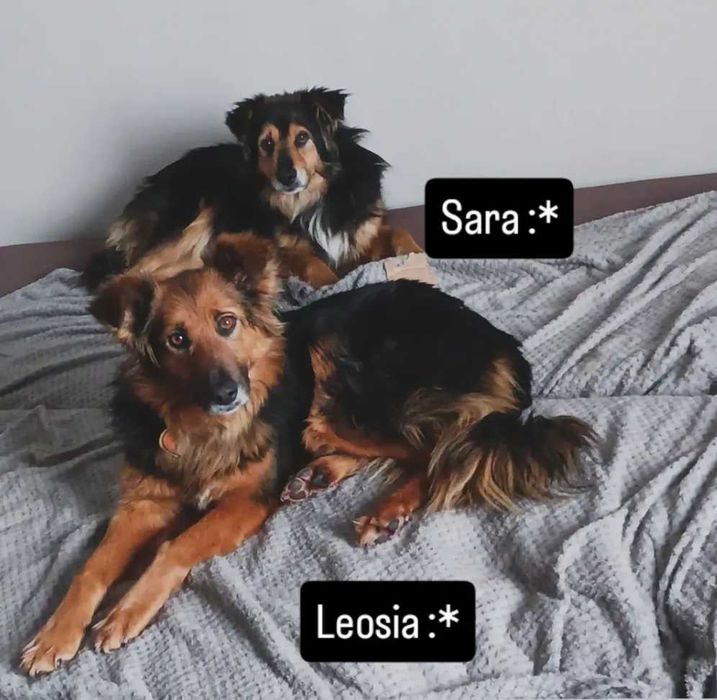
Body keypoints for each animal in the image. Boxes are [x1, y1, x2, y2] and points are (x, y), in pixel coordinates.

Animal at [22, 234, 594, 675]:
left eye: (226, 323)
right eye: (176, 339)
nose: (228, 393)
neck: (199, 426)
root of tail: (496, 338)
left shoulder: (247, 502)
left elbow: (174, 547)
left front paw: (127, 610)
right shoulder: (142, 504)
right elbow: (91, 568)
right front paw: (55, 633)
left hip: (338, 382)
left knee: (435, 450)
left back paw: (386, 509)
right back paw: (316, 477)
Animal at [83, 87, 421, 290]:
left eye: (302, 138)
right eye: (266, 144)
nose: (287, 177)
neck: (314, 199)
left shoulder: (362, 231)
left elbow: (399, 233)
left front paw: (416, 256)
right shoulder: (278, 247)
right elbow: (310, 262)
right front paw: (331, 282)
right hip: (197, 215)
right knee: (127, 276)